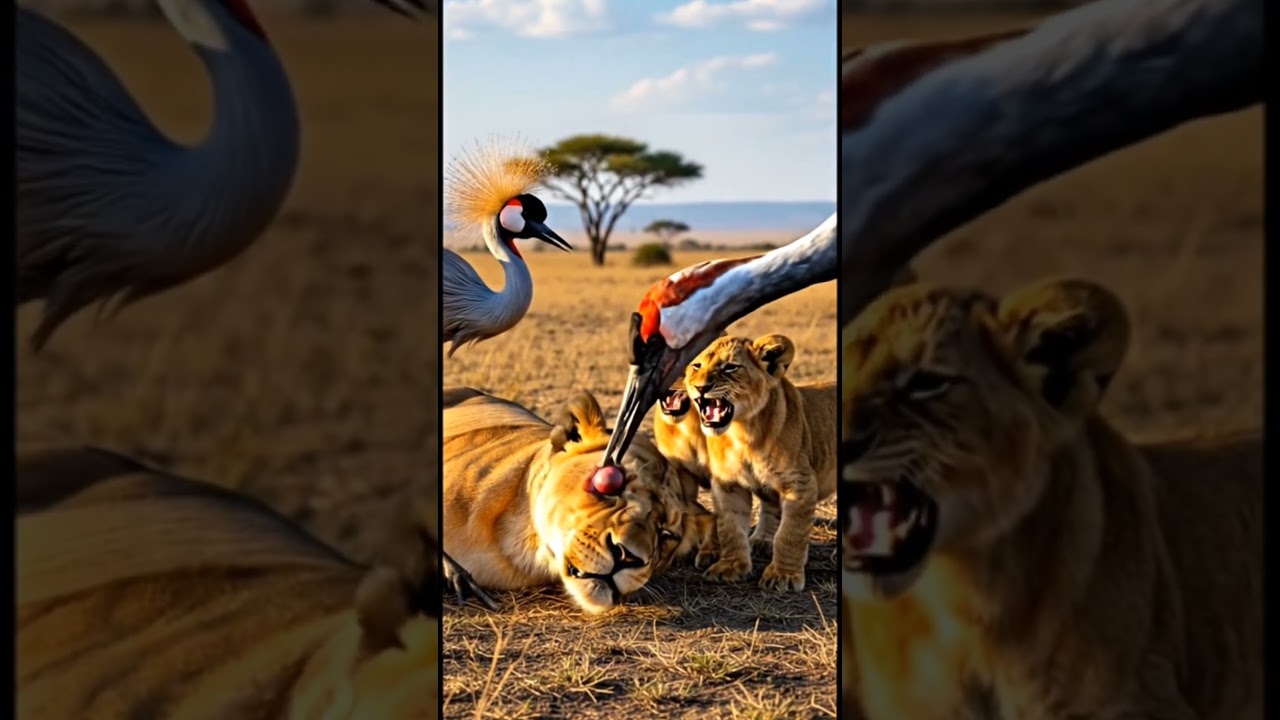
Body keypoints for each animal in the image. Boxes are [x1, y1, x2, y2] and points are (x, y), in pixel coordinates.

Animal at [683, 333, 837, 593]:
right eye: (697, 366)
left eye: (730, 367)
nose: (701, 388)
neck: (742, 433)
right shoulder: (728, 485)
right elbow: (730, 528)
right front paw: (730, 567)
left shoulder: (800, 484)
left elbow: (790, 534)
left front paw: (783, 575)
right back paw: (762, 540)